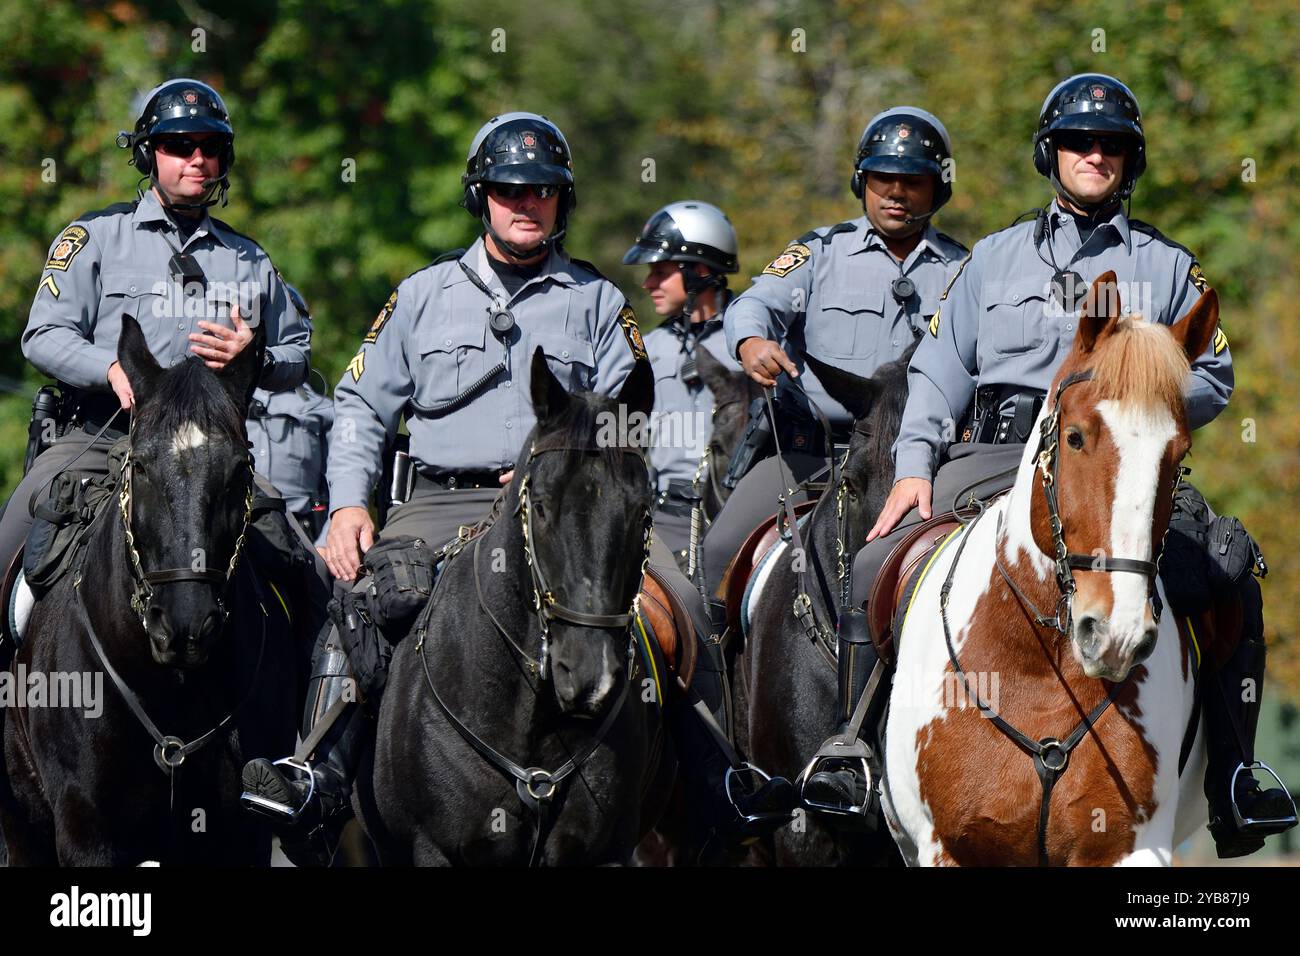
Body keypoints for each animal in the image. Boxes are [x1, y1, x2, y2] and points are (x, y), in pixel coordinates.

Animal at [878, 270, 1222, 868]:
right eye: (1075, 436)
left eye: (1176, 456)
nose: (1116, 634)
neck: (1039, 669)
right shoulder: (948, 848)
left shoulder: (1129, 848)